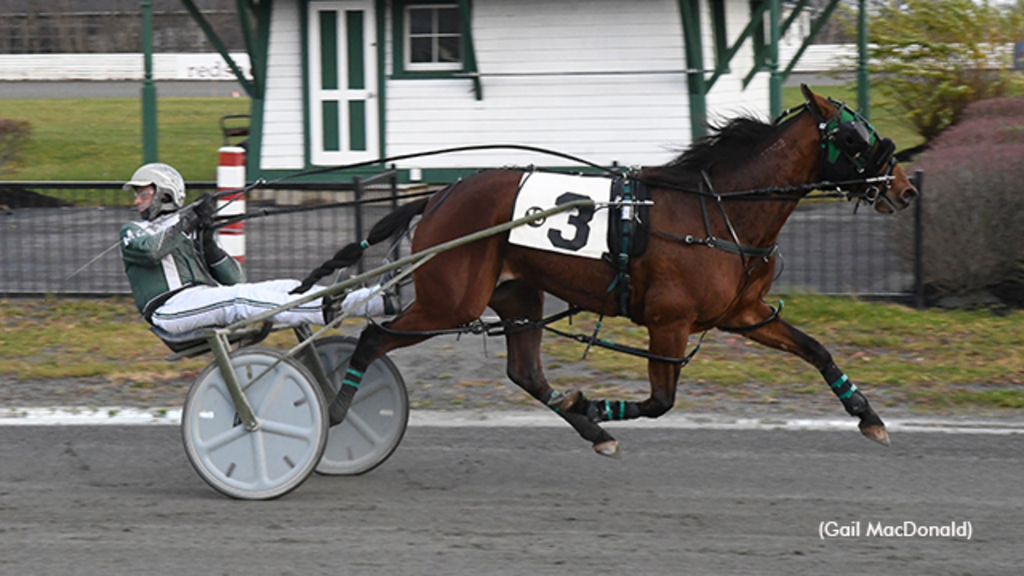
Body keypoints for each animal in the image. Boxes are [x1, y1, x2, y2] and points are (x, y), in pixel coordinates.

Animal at [292, 85, 917, 455]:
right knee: (373, 337)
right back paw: (338, 410)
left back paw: (592, 430)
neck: (718, 210)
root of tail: (441, 195)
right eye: (854, 137)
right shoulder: (668, 322)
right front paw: (595, 402)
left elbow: (816, 350)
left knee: (526, 373)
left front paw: (868, 415)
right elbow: (661, 401)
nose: (906, 189)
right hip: (451, 302)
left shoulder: (744, 313)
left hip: (516, 296)